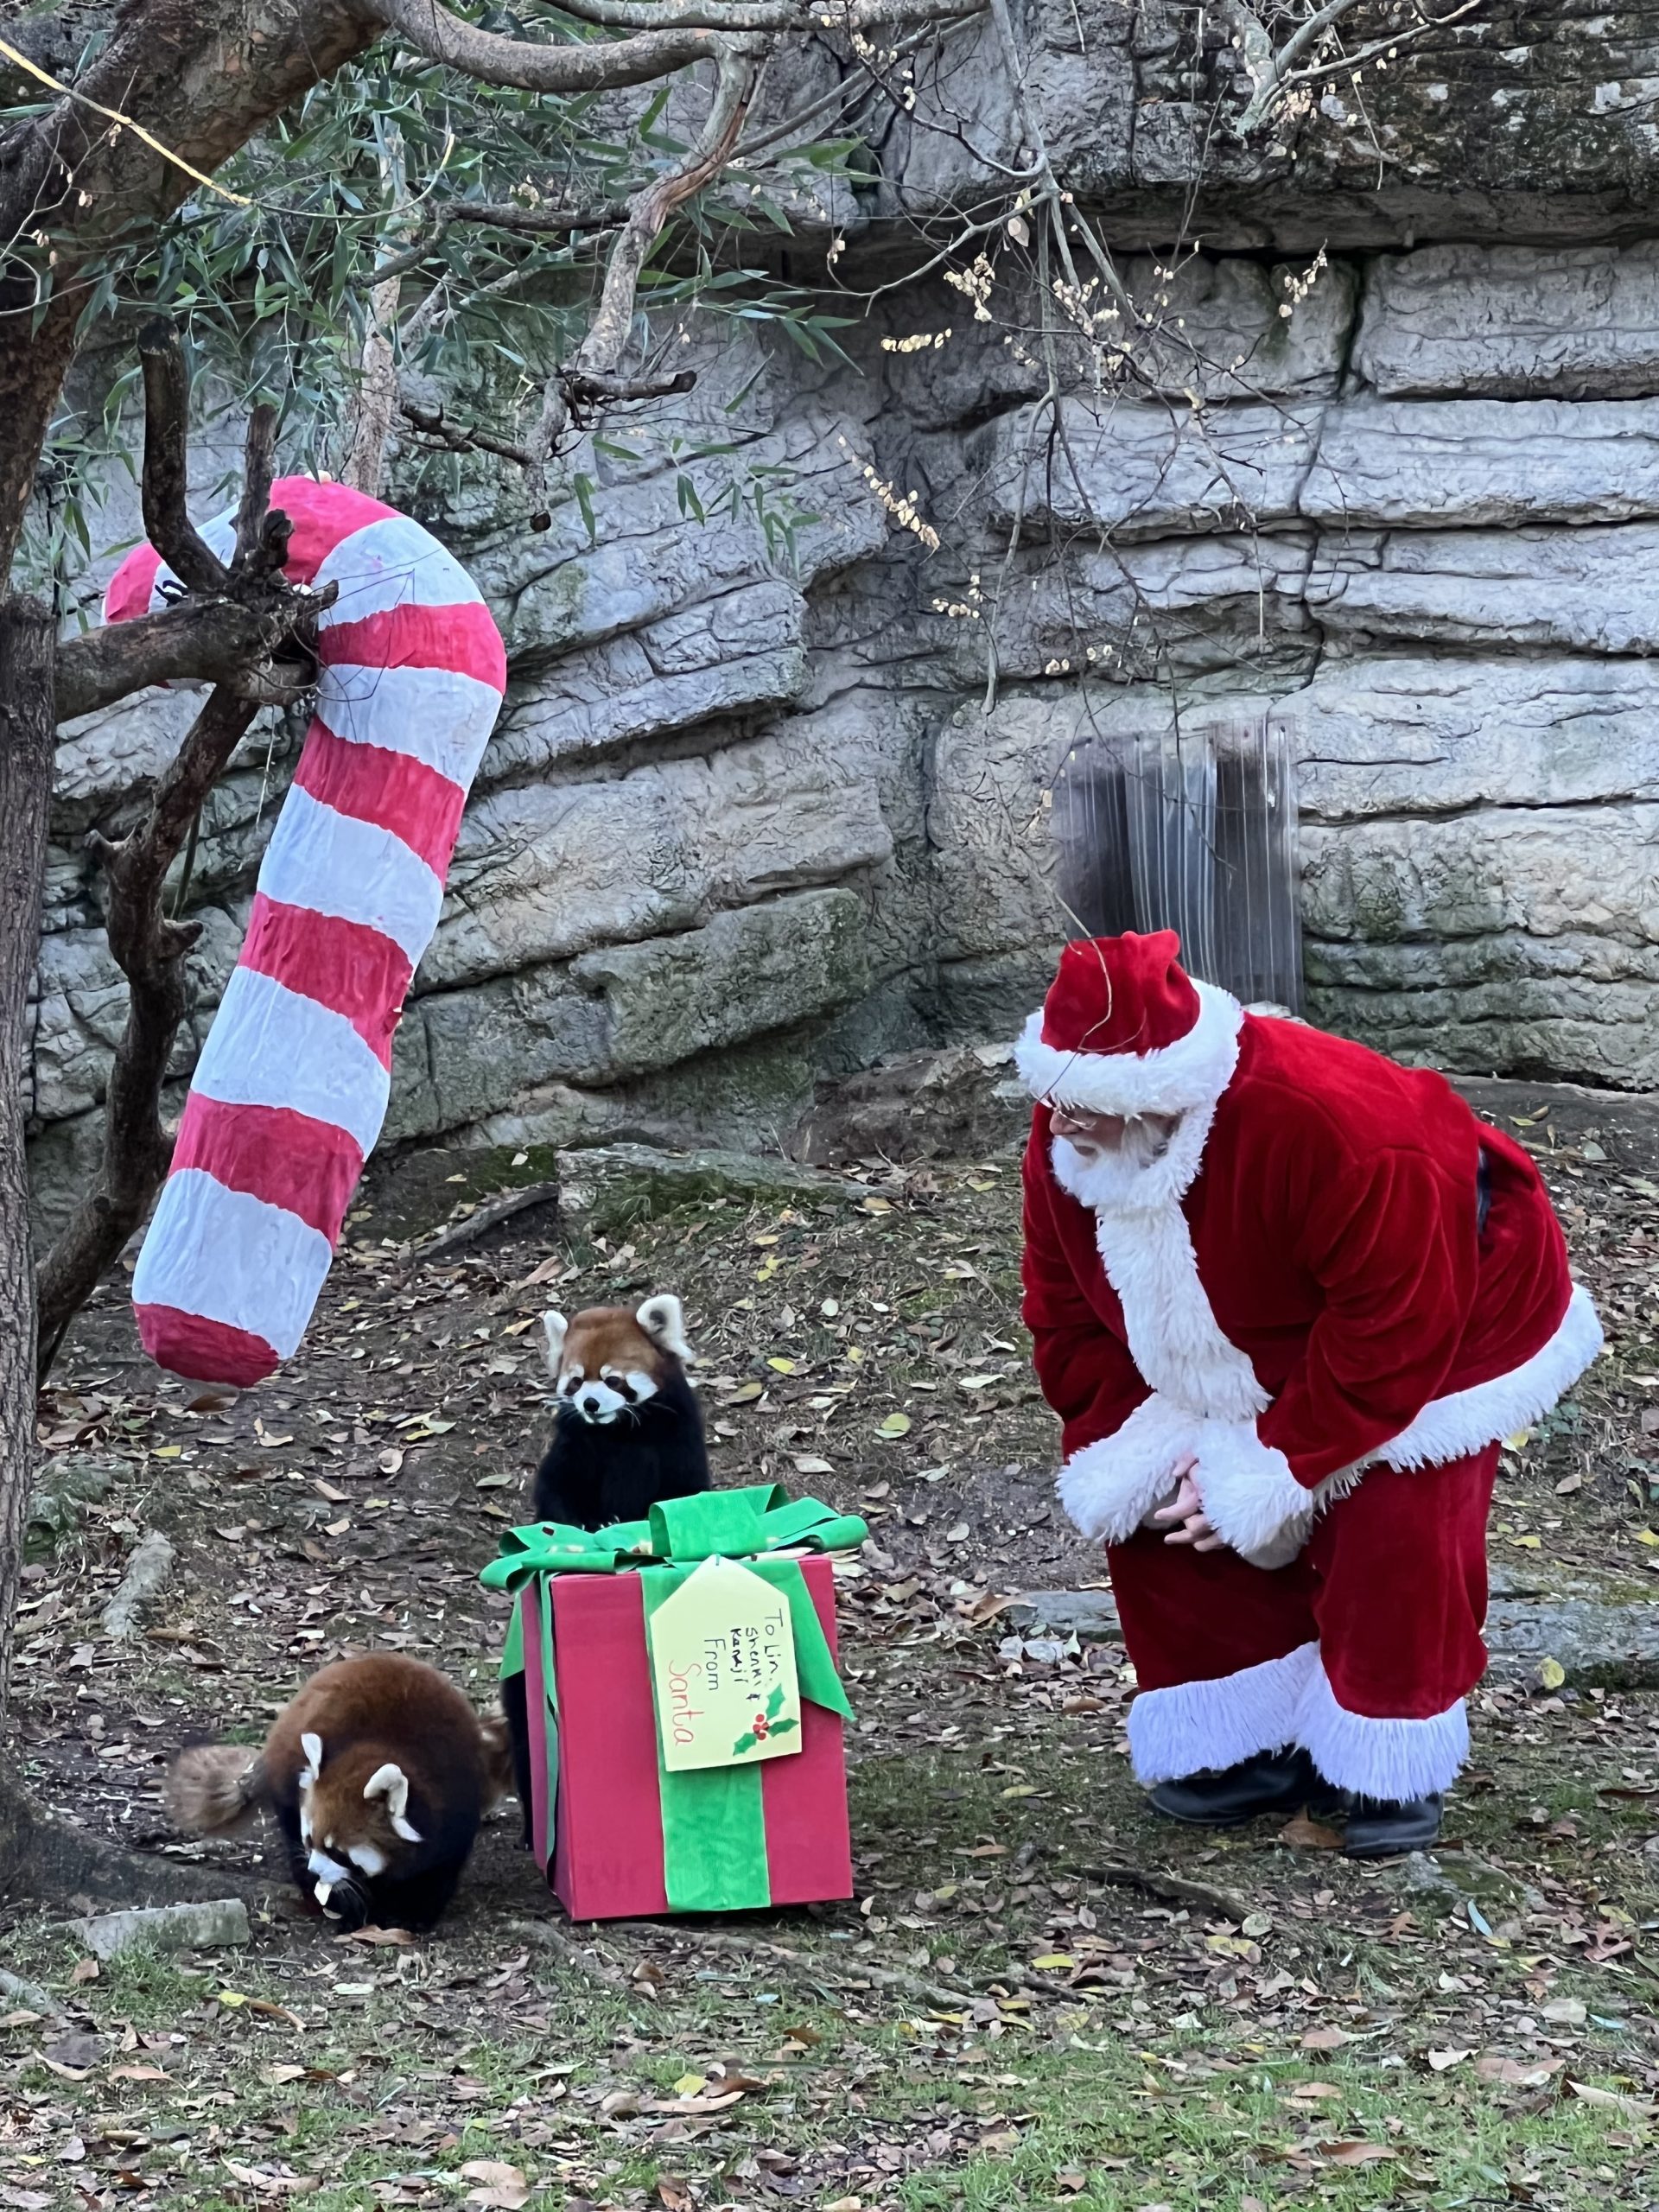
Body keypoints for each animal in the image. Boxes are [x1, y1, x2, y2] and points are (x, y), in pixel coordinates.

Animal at [167, 1654, 512, 1929]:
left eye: (337, 1852)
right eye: (311, 1840)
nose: (315, 1870)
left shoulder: (457, 1806)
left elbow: (438, 1872)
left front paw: (414, 1914)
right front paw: (348, 1906)